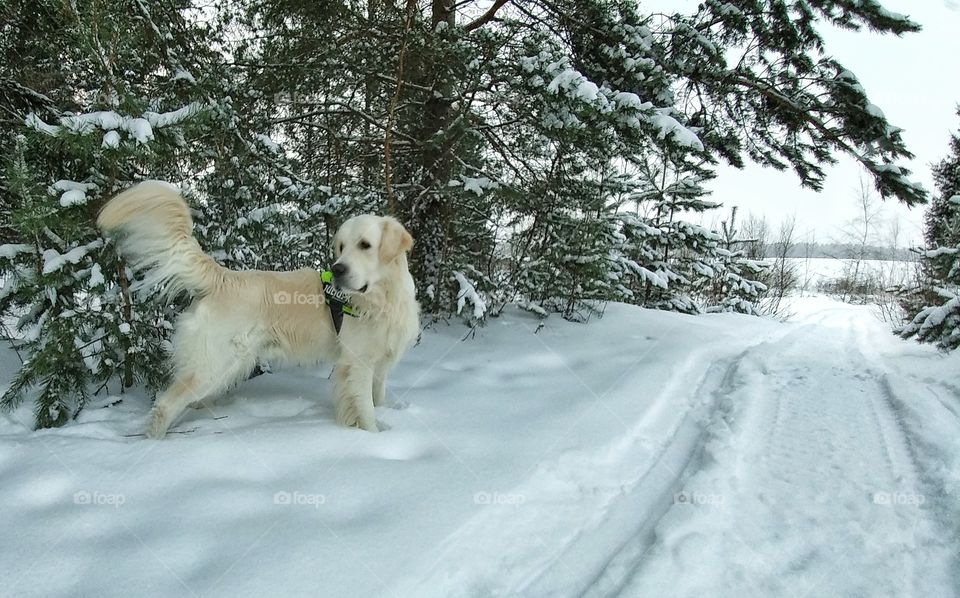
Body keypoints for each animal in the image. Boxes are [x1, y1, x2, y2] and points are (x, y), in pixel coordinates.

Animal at [96, 180, 420, 438]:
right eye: (341, 247)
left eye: (365, 245)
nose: (338, 270)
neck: (382, 298)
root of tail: (223, 276)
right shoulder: (356, 365)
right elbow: (365, 411)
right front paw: (373, 437)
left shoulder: (379, 365)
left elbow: (377, 399)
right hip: (214, 363)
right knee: (165, 404)